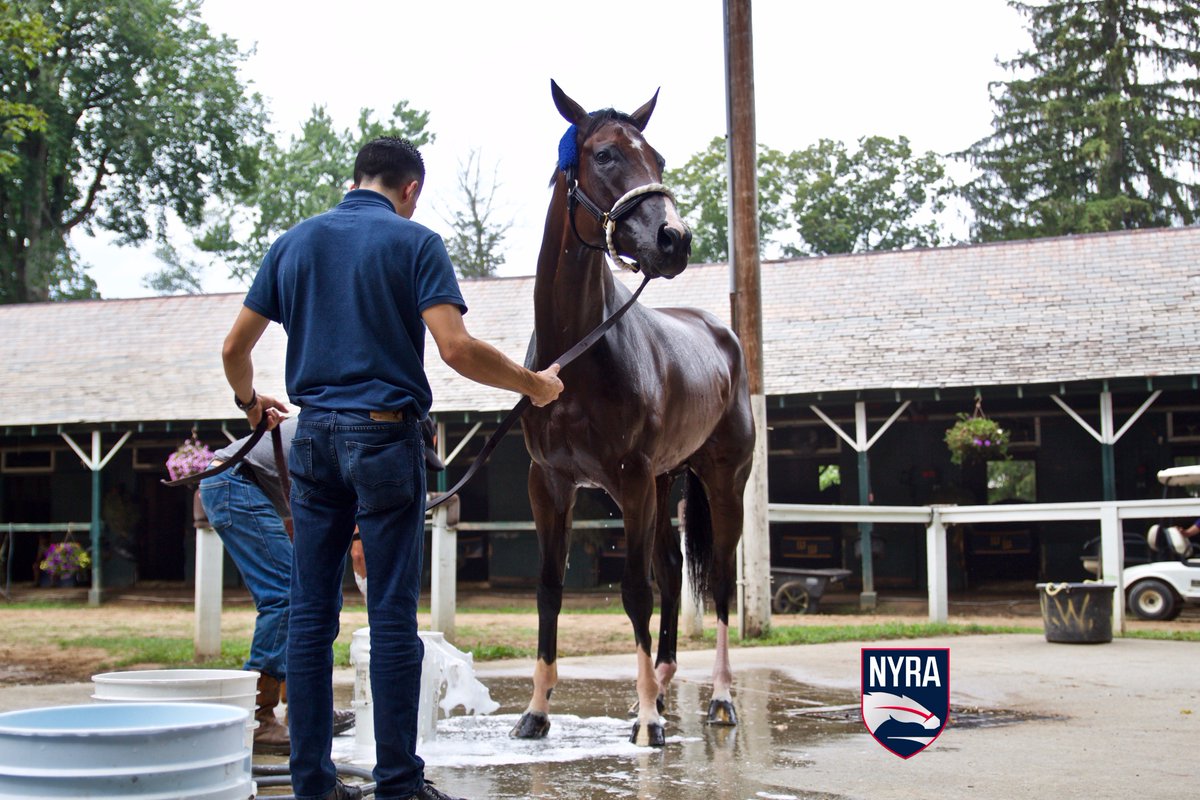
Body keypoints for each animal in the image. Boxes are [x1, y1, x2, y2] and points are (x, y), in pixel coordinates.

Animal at [511, 81, 753, 743]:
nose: (674, 239)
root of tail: (723, 334)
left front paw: (647, 723)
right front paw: (536, 711)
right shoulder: (550, 482)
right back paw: (663, 687)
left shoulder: (631, 478)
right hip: (664, 482)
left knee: (718, 580)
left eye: (659, 159)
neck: (577, 352)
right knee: (671, 571)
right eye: (605, 155)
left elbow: (635, 592)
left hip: (720, 482)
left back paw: (719, 700)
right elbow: (549, 588)